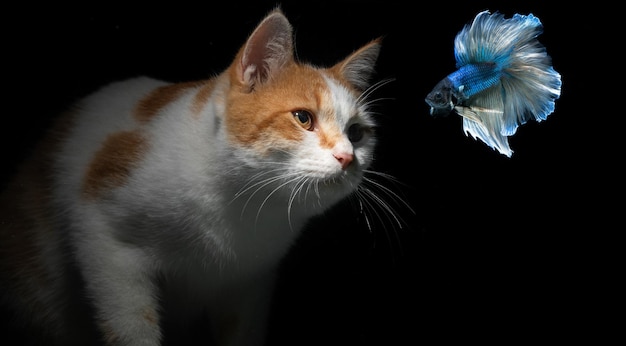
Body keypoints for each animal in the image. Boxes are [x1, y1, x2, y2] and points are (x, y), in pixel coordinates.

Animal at [0, 6, 394, 346]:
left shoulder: (250, 285)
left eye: (357, 133)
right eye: (303, 118)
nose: (347, 157)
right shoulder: (105, 243)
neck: (242, 205)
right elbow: (132, 324)